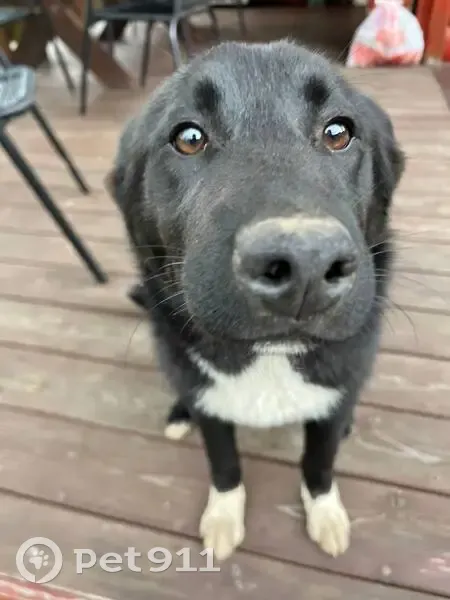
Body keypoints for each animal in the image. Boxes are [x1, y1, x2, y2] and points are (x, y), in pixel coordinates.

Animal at [107, 40, 404, 561]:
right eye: (188, 138)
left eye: (338, 132)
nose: (305, 266)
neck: (270, 361)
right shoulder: (212, 409)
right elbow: (224, 464)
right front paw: (224, 516)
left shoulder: (333, 403)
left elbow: (319, 462)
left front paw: (325, 513)